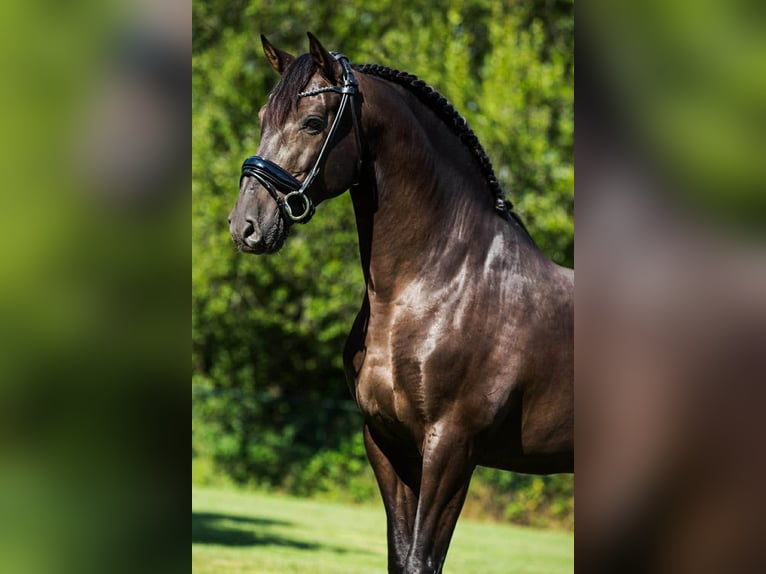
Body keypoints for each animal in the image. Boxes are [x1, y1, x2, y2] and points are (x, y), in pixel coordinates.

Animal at [228, 32, 573, 574]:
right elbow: (399, 555)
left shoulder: (452, 449)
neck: (439, 283)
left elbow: (421, 560)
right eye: (263, 117)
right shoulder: (387, 443)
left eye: (313, 122)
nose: (246, 224)